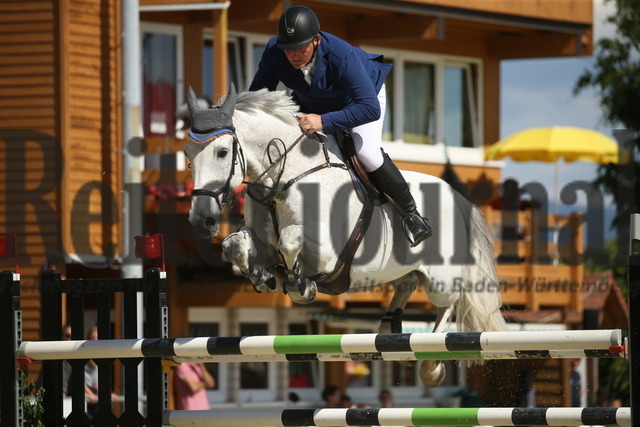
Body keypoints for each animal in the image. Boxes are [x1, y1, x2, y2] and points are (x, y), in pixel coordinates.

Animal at [184, 85, 504, 386]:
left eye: (222, 152)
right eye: (187, 154)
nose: (202, 221)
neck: (283, 179)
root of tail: (458, 199)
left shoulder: (327, 252)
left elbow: (290, 239)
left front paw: (300, 286)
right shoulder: (262, 245)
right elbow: (234, 245)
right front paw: (267, 278)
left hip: (441, 280)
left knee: (449, 303)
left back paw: (430, 364)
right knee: (408, 282)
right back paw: (389, 329)